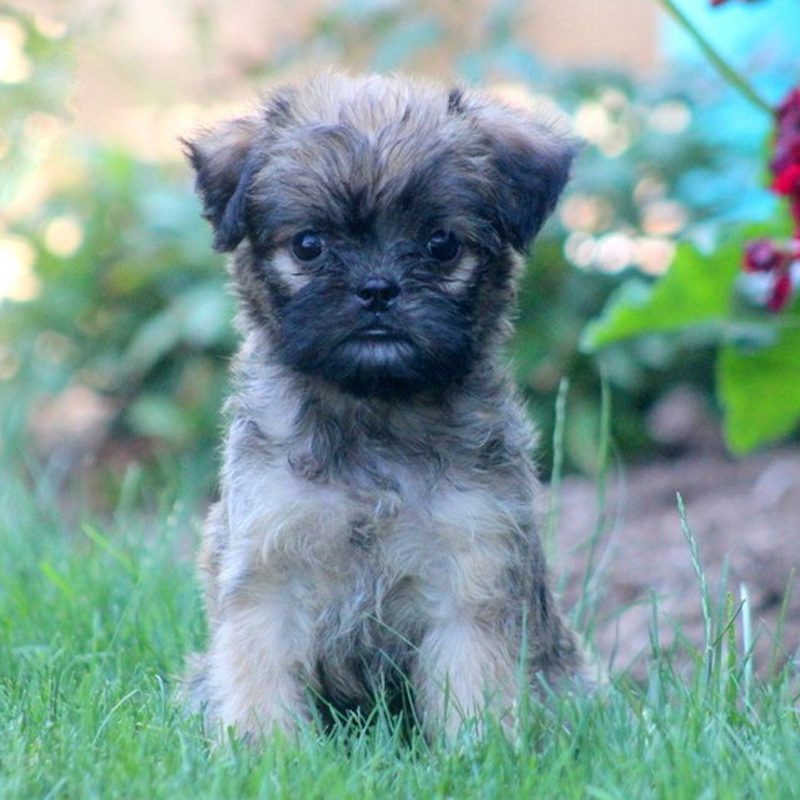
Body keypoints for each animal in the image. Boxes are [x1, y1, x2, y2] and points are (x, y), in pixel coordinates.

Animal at [186, 72, 588, 740]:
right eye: (309, 245)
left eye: (442, 245)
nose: (377, 288)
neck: (374, 414)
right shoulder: (267, 574)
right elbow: (260, 683)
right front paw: (264, 751)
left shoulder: (470, 576)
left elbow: (473, 687)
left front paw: (480, 751)